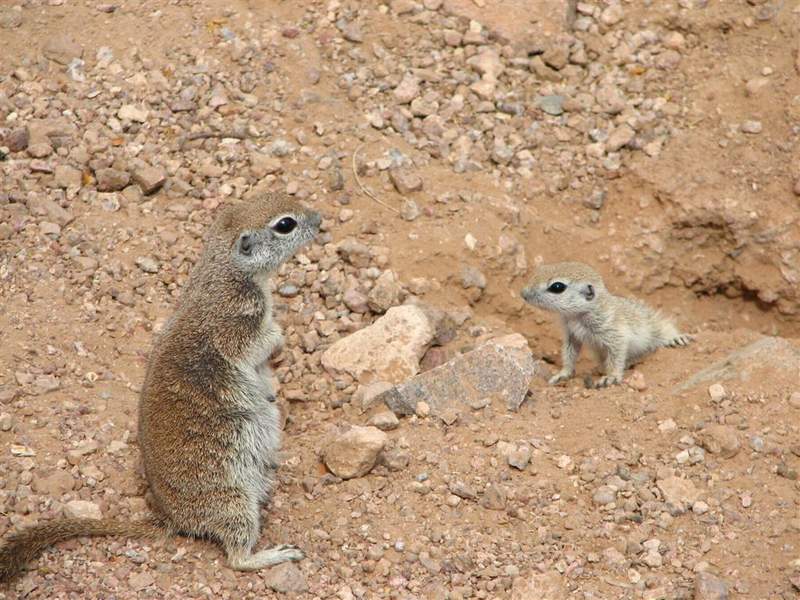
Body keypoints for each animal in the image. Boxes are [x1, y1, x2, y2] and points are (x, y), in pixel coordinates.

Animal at [0, 192, 318, 580]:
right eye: (285, 224)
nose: (319, 219)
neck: (225, 270)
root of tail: (172, 518)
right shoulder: (237, 323)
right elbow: (260, 343)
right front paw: (277, 348)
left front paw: (270, 388)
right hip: (233, 499)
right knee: (236, 556)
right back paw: (272, 554)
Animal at [520, 262, 692, 390]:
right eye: (540, 269)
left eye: (557, 287)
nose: (523, 294)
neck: (577, 316)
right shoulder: (571, 334)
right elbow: (570, 353)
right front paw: (564, 373)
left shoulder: (613, 331)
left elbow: (616, 354)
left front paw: (611, 377)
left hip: (654, 326)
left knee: (663, 328)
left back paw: (676, 338)